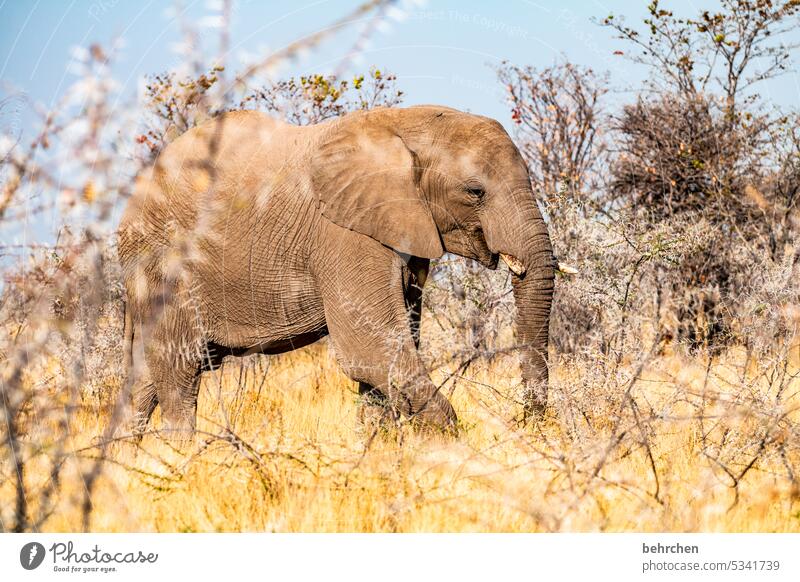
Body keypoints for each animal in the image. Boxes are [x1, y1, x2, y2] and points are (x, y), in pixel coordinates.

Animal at [117, 105, 556, 438]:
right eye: (475, 192)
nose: (526, 422)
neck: (407, 125)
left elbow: (391, 350)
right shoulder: (344, 234)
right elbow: (369, 350)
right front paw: (446, 446)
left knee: (145, 380)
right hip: (161, 262)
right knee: (180, 373)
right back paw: (183, 461)